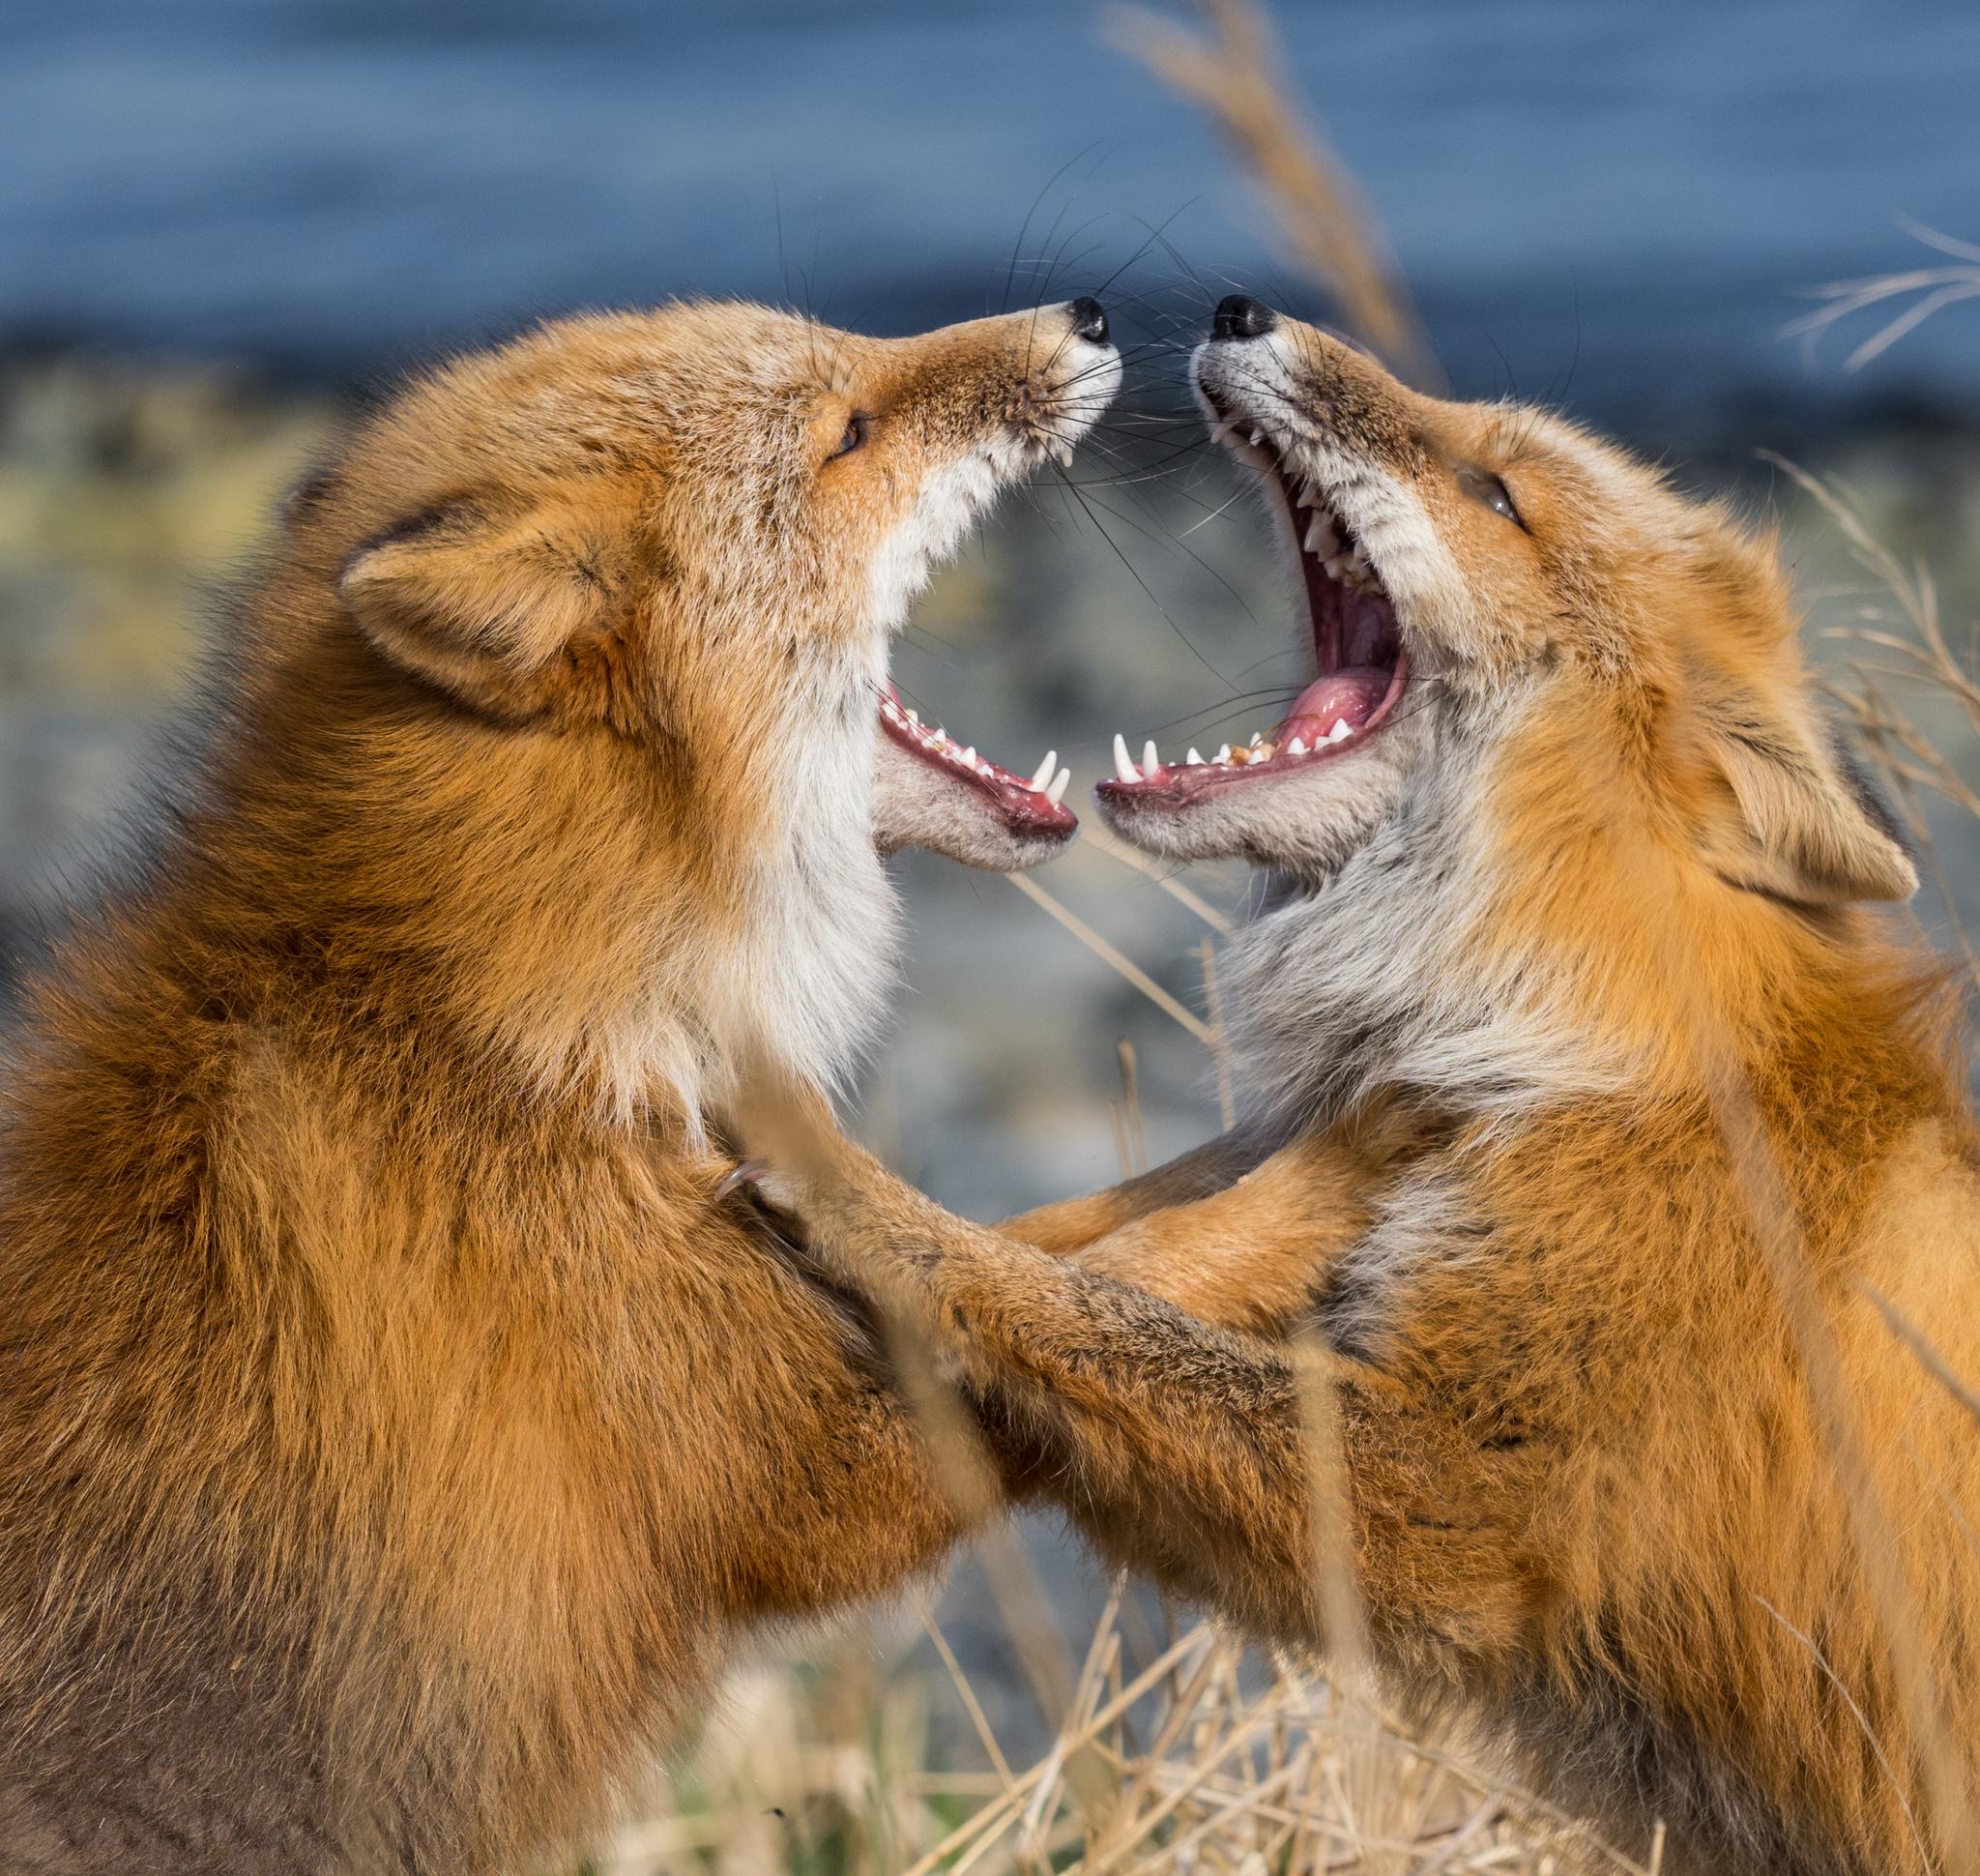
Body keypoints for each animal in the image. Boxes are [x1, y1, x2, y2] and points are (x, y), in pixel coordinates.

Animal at [0, 296, 1119, 1873]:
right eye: (848, 431)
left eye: (849, 350)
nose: (1085, 313)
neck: (484, 1017)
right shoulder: (803, 1465)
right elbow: (1117, 1276)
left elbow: (1070, 1249)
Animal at [731, 295, 1980, 1876]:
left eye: (1498, 494)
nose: (1239, 308)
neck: (1562, 1030)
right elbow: (1092, 1254)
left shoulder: (1453, 1500)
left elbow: (1077, 1310)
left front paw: (854, 1201)